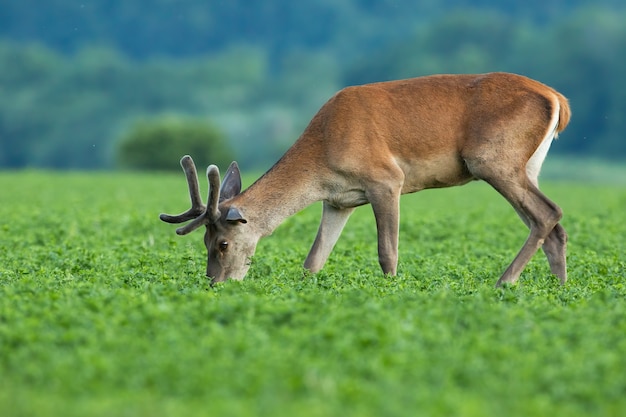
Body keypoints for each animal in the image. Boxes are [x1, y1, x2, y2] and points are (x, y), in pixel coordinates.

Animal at [161, 71, 572, 286]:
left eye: (222, 244)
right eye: (204, 242)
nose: (215, 282)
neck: (322, 157)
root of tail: (557, 98)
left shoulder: (387, 179)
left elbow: (387, 251)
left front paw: (390, 289)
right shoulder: (338, 201)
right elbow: (314, 259)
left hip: (492, 159)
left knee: (548, 212)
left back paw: (505, 281)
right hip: (526, 166)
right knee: (552, 226)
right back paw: (558, 289)